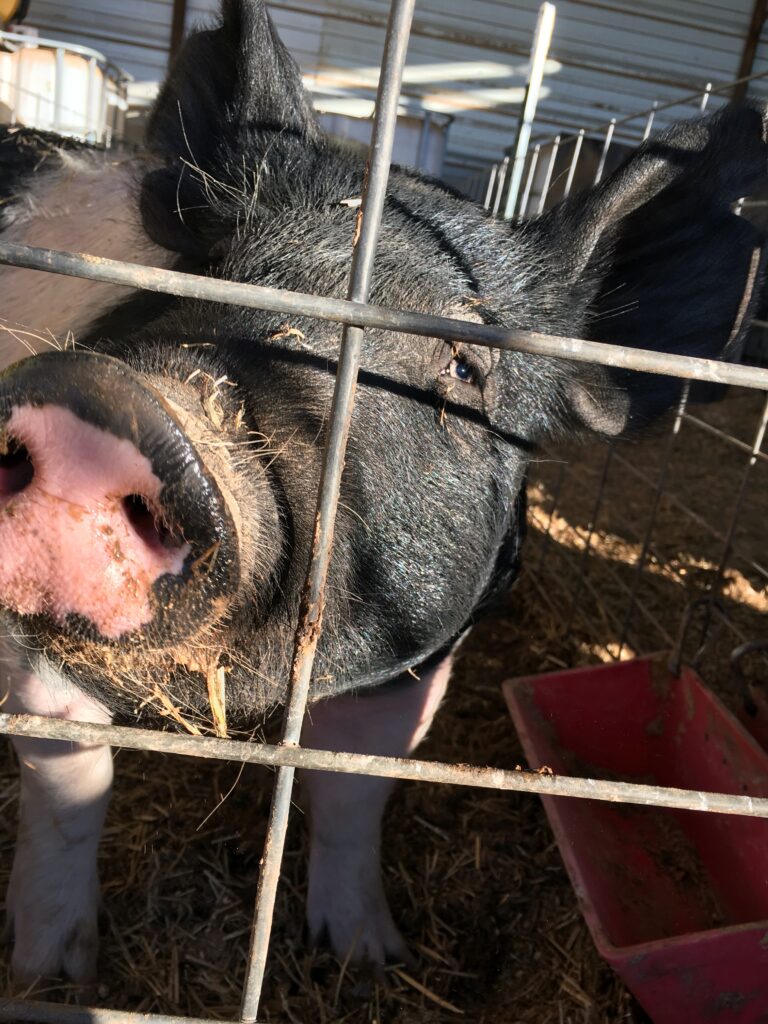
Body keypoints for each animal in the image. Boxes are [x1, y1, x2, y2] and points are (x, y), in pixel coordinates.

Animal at [0, 0, 765, 986]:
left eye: (466, 366)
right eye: (204, 259)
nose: (113, 404)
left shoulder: (420, 656)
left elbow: (355, 789)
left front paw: (363, 958)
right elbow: (72, 781)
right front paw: (51, 975)